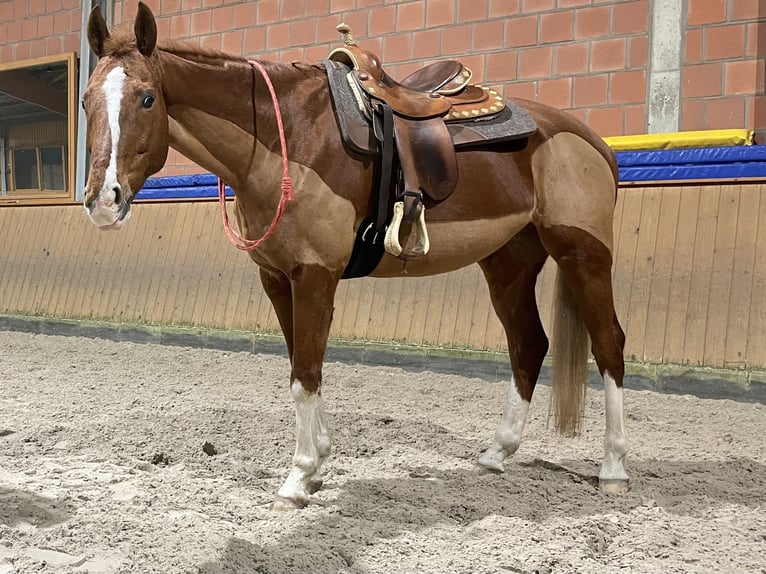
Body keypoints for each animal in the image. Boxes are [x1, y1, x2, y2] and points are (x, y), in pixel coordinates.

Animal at [82, 2, 629, 510]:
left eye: (147, 98)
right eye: (86, 101)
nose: (103, 200)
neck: (285, 139)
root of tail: (589, 139)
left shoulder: (315, 275)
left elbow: (305, 374)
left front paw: (298, 479)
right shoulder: (278, 278)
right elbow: (302, 368)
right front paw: (317, 464)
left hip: (583, 253)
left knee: (609, 345)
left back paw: (614, 469)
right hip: (508, 262)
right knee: (528, 345)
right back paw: (497, 454)